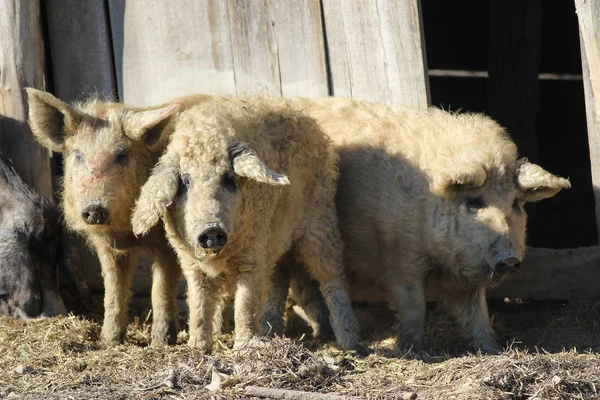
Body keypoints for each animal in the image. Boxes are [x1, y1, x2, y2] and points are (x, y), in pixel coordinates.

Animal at [26, 89, 211, 346]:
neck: (126, 233)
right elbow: (113, 289)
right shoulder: (107, 247)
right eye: (79, 155)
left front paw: (159, 344)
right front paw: (107, 342)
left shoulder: (166, 243)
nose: (95, 209)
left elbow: (160, 288)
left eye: (121, 155)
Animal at [131, 95, 358, 352]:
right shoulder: (191, 264)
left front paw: (243, 349)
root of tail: (311, 123)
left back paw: (349, 343)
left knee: (332, 279)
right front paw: (198, 348)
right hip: (277, 240)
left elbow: (245, 305)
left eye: (228, 178)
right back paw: (273, 333)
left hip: (320, 222)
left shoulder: (252, 256)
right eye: (185, 182)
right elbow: (199, 305)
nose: (211, 229)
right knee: (278, 284)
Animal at [282, 97, 572, 354]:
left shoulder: (468, 274)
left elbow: (477, 311)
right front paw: (413, 350)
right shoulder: (400, 260)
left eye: (515, 203)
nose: (510, 258)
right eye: (474, 203)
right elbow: (414, 306)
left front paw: (492, 349)